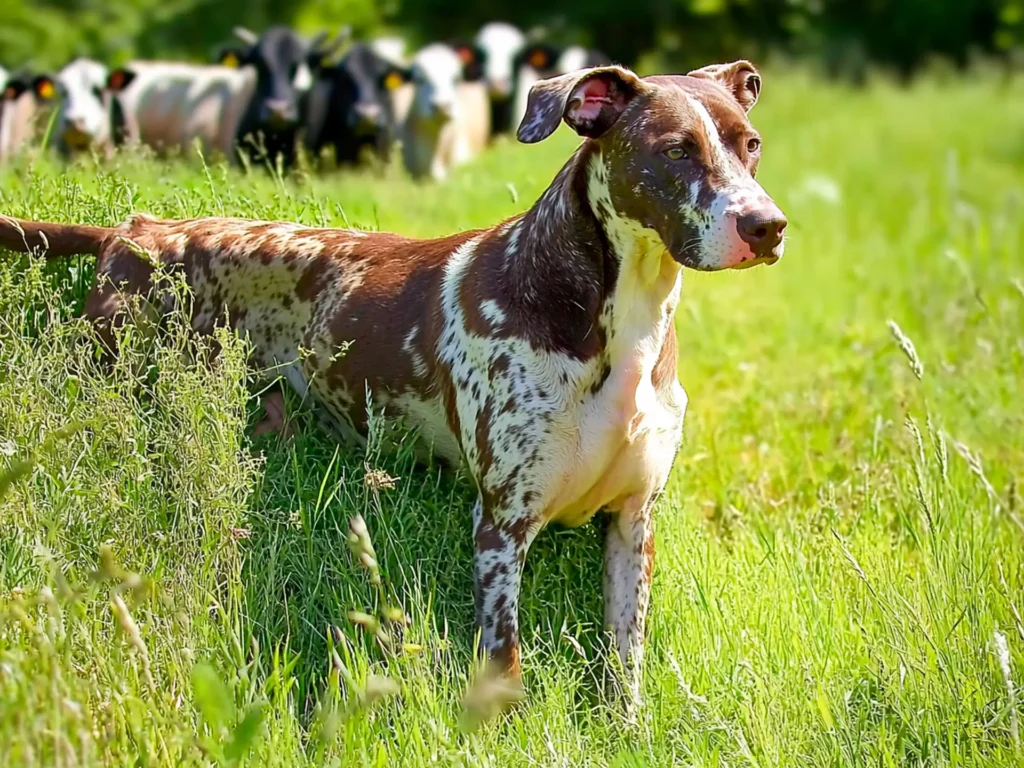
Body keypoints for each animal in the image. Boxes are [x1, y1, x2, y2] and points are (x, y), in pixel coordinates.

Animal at [0, 63, 786, 708]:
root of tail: (132, 230)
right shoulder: (502, 528)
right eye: (675, 149)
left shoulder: (631, 523)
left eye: (750, 144)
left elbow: (625, 665)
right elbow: (505, 665)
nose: (768, 226)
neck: (620, 322)